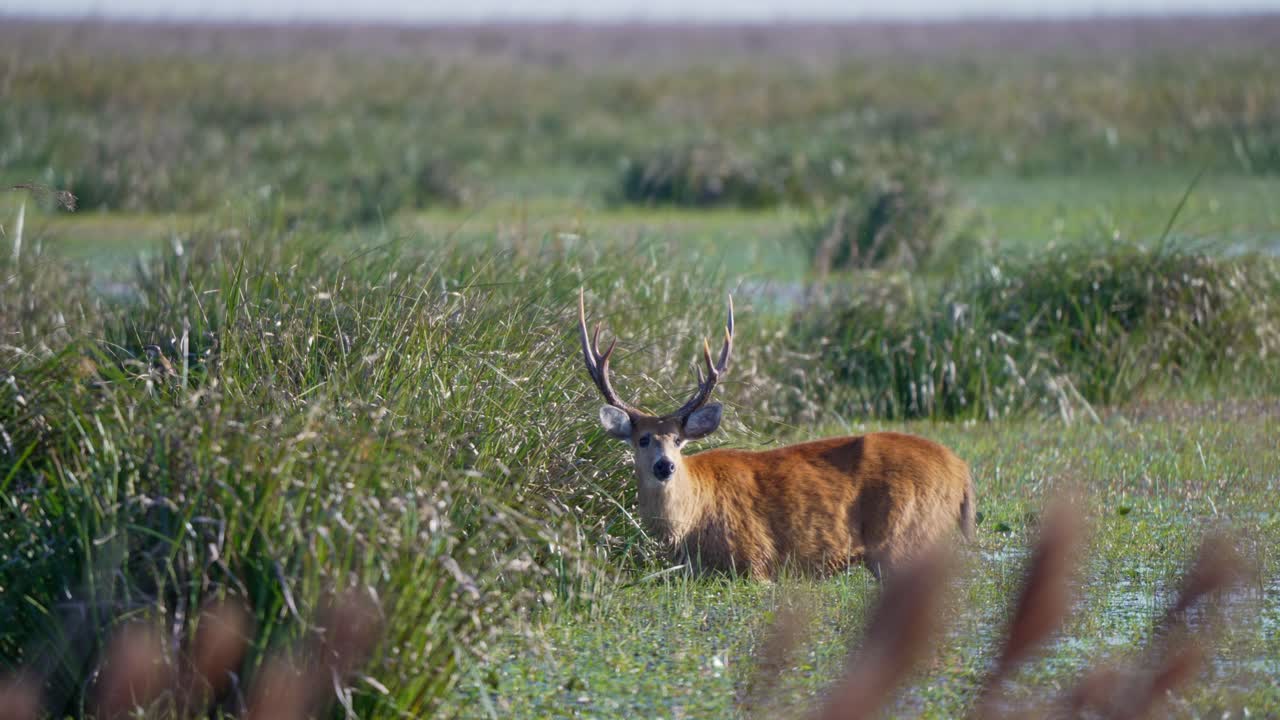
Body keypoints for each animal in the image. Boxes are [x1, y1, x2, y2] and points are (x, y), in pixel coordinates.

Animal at [577, 289, 975, 581]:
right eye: (643, 438)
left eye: (678, 439)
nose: (664, 466)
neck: (690, 522)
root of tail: (961, 470)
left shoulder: (755, 559)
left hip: (907, 533)